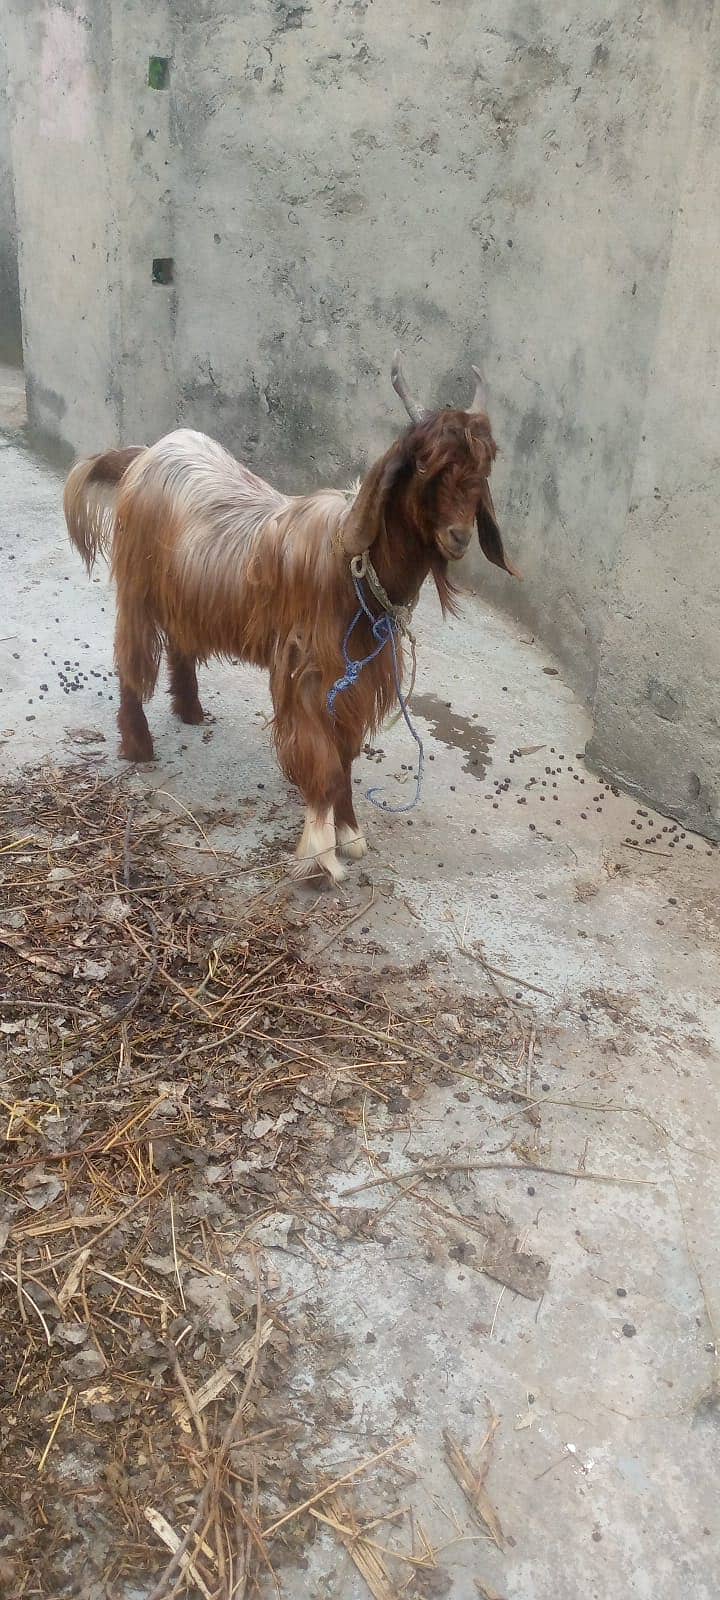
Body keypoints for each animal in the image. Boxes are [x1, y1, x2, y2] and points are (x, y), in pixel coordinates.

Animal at [63, 356, 517, 883]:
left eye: (485, 464)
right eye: (424, 462)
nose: (458, 536)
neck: (353, 565)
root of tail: (148, 452)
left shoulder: (358, 675)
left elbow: (345, 756)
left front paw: (350, 833)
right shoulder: (308, 669)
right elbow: (323, 759)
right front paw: (320, 853)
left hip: (184, 591)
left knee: (179, 641)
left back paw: (190, 709)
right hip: (139, 583)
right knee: (131, 655)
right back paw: (138, 743)